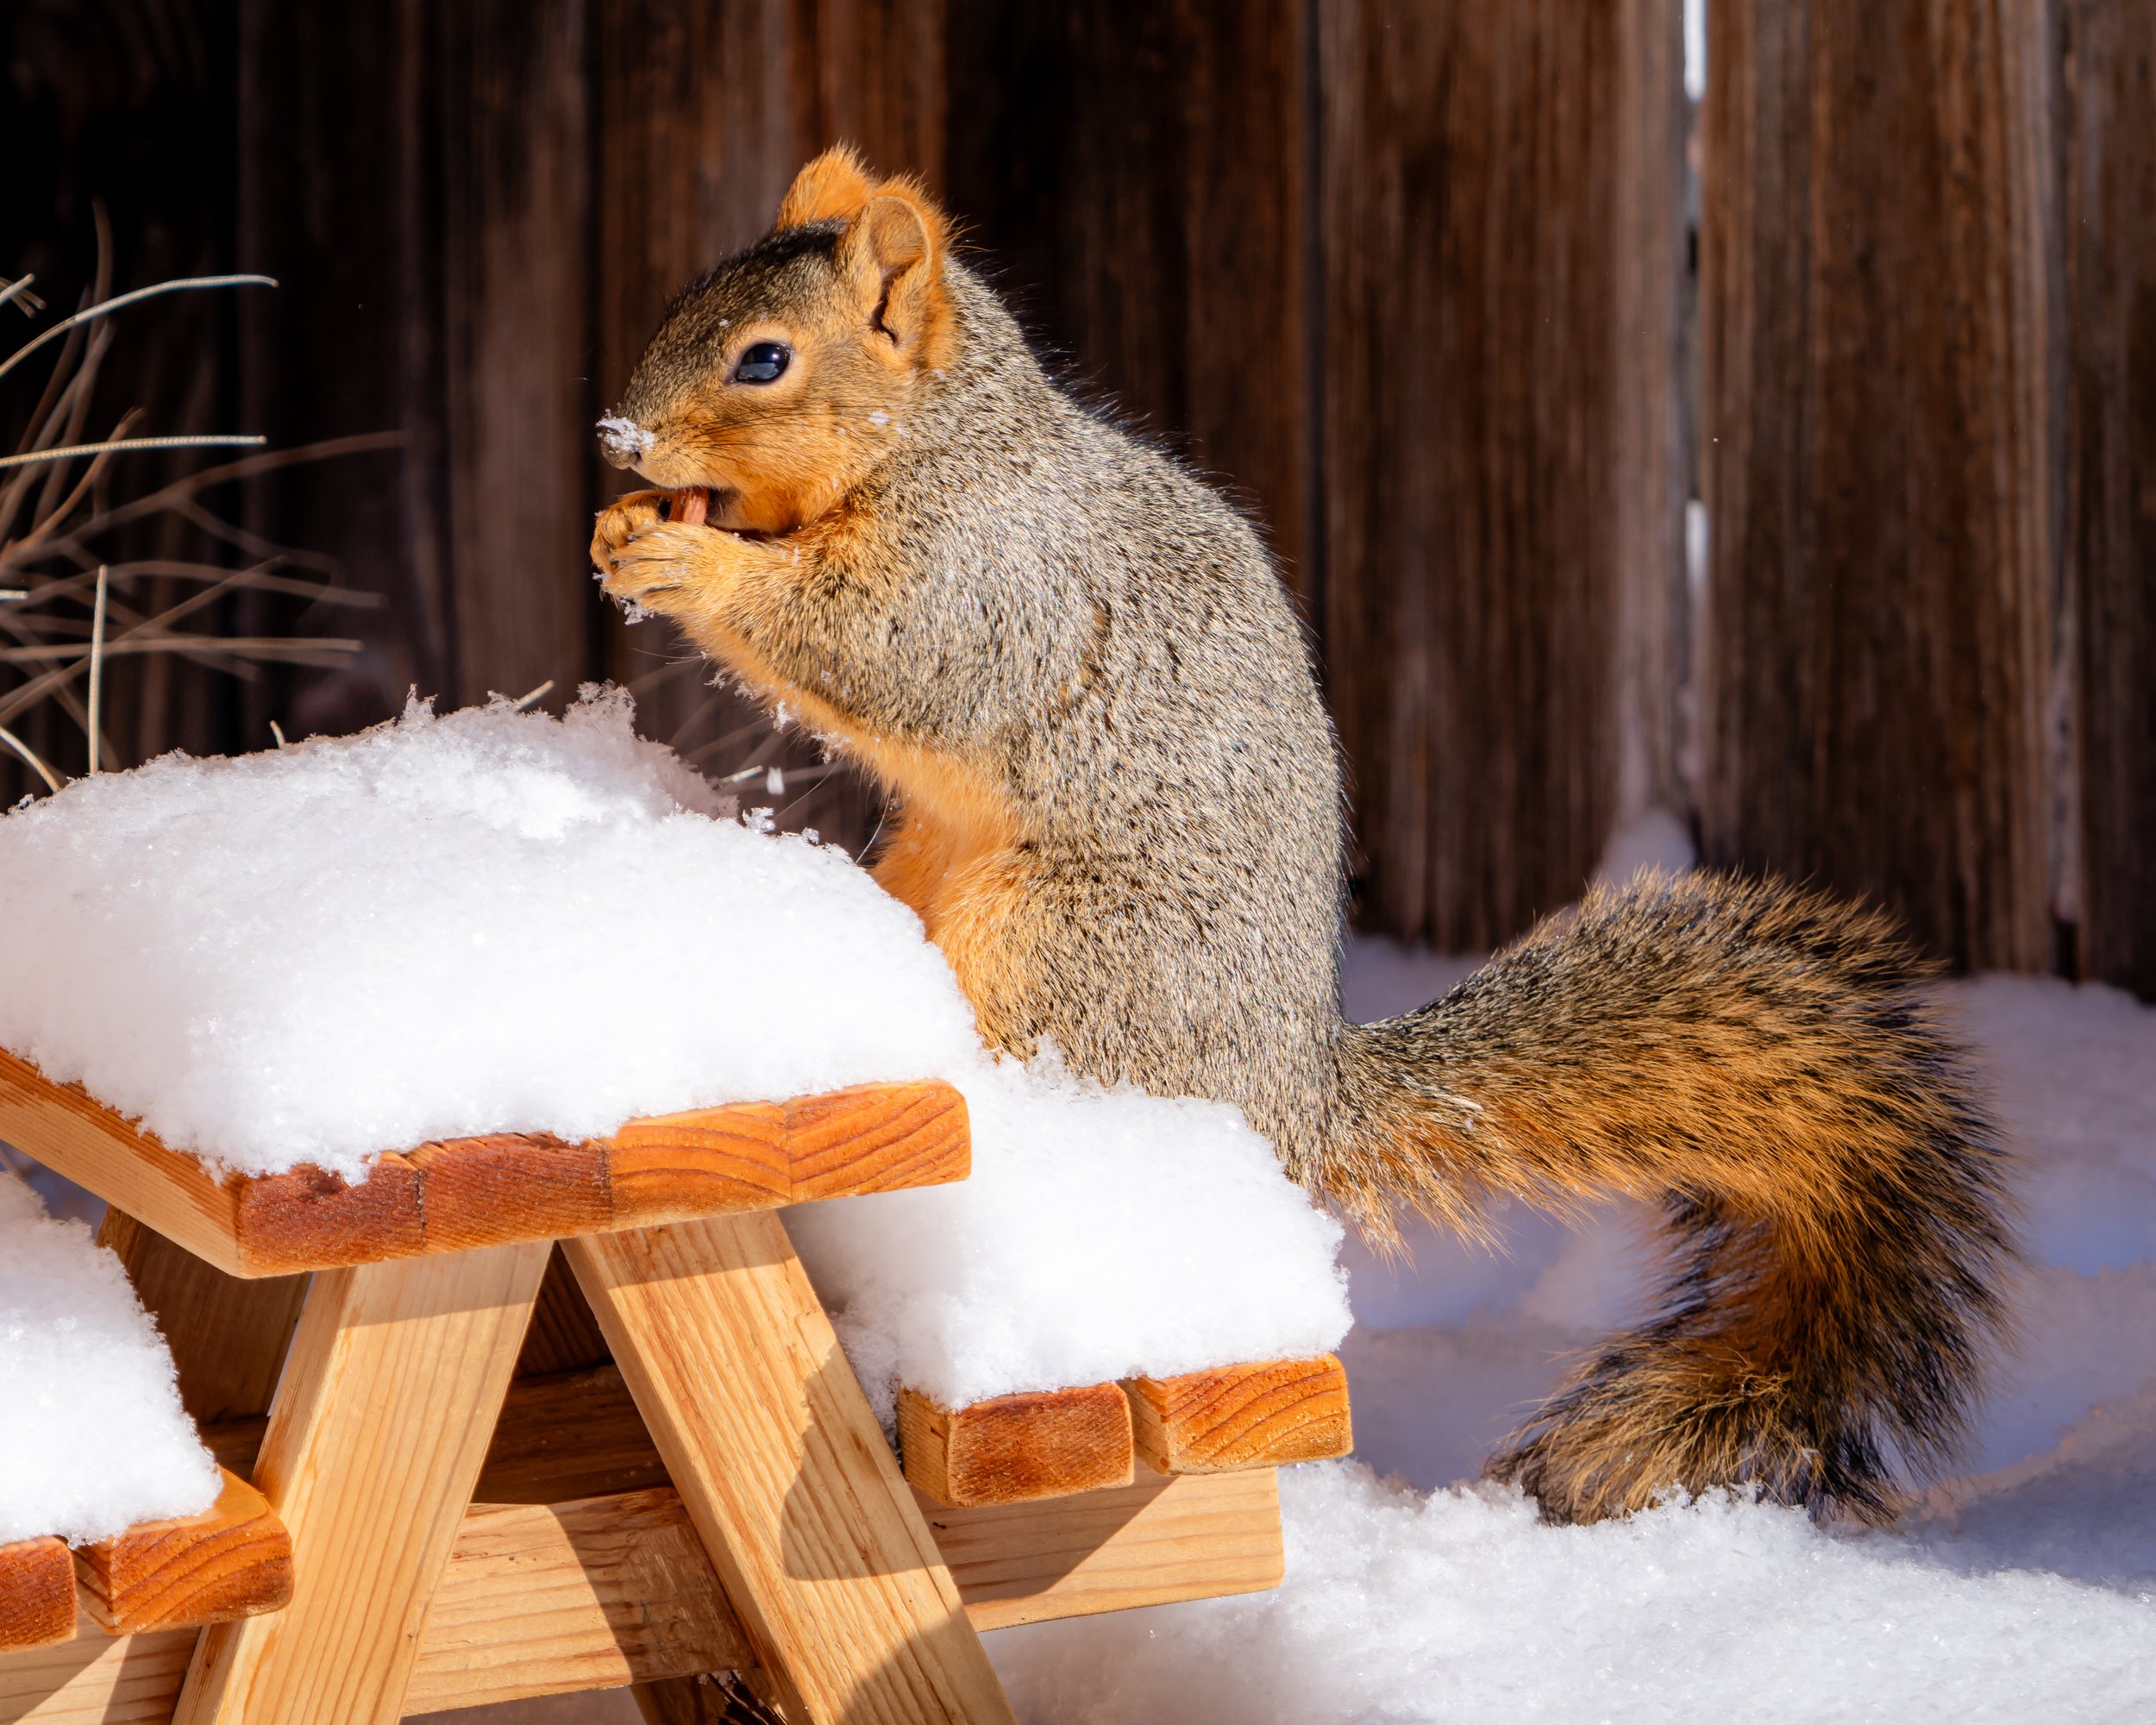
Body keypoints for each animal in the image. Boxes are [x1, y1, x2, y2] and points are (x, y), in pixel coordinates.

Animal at [589, 146, 2017, 1526]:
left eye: (764, 359)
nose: (618, 436)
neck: (944, 440)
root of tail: (1293, 1090)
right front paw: (628, 533)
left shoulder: (992, 577)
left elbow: (880, 649)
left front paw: (693, 565)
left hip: (1063, 946)